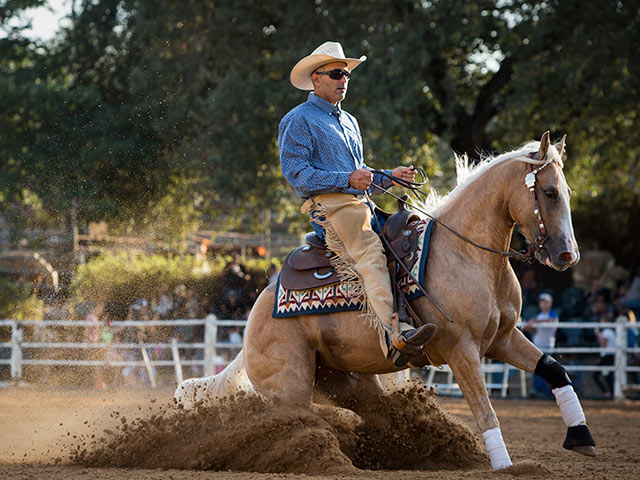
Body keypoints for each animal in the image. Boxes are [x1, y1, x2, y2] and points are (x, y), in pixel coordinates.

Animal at [175, 133, 596, 470]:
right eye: (549, 193)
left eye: (568, 193)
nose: (567, 255)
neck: (466, 253)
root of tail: (258, 312)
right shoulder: (461, 349)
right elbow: (485, 411)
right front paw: (507, 466)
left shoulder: (502, 339)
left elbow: (555, 369)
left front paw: (581, 437)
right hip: (289, 386)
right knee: (300, 421)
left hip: (347, 380)